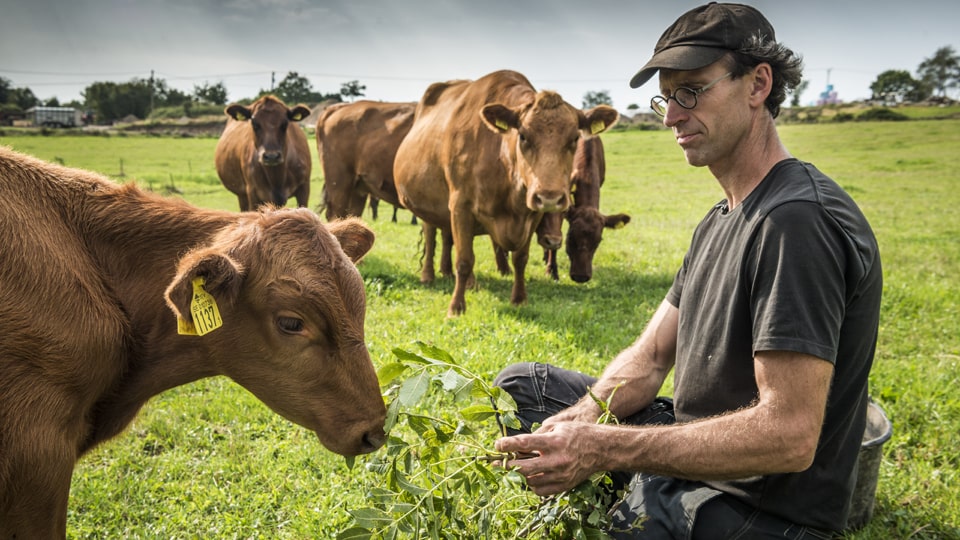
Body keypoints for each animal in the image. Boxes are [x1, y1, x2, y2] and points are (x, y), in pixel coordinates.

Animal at [394, 71, 620, 316]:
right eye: (523, 136)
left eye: (574, 139)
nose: (549, 197)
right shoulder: (460, 206)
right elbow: (464, 259)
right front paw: (456, 307)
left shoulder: (532, 214)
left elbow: (520, 258)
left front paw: (519, 299)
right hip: (429, 204)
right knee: (431, 234)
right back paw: (429, 275)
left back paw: (455, 275)